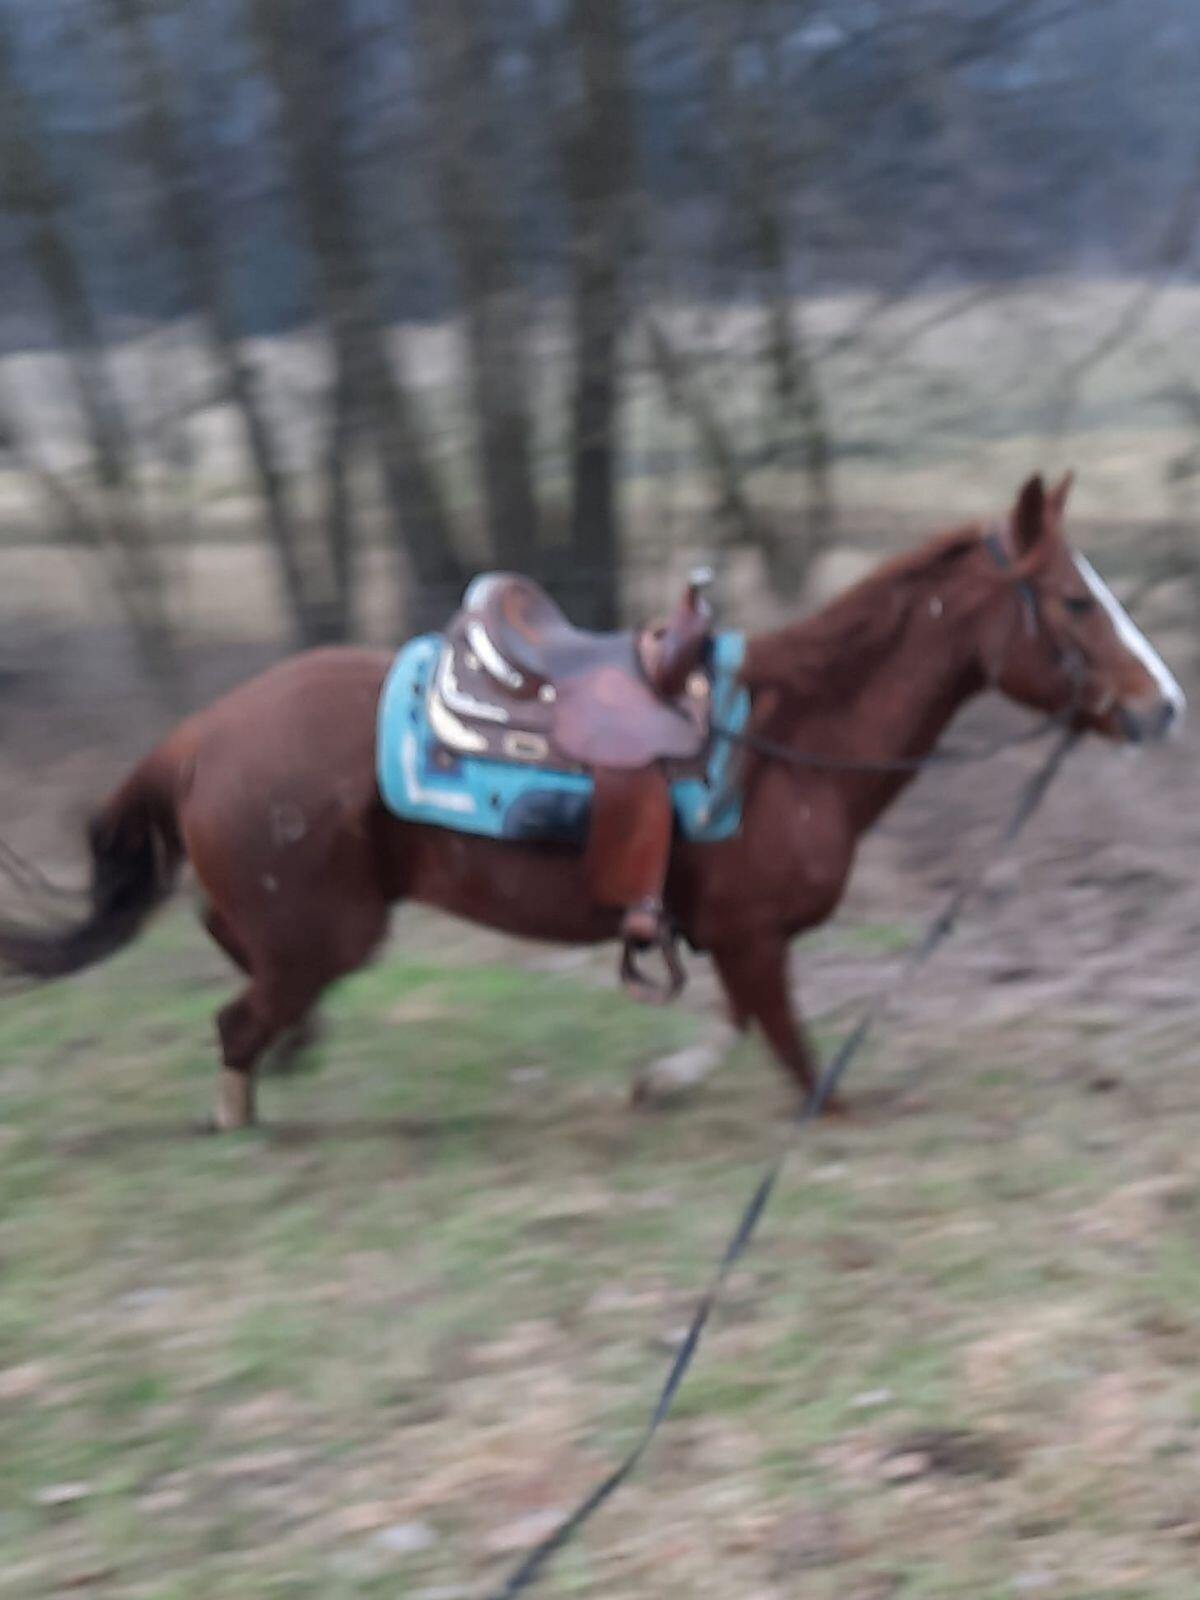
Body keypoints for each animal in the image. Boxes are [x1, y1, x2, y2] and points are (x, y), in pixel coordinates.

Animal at [0, 472, 1184, 1131]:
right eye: (1076, 600)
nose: (1163, 705)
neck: (793, 738)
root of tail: (197, 734)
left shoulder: (730, 939)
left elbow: (743, 1026)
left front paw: (661, 1082)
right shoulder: (752, 936)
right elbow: (794, 1050)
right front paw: (712, 1086)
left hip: (304, 925)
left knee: (236, 969)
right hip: (325, 930)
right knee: (238, 1021)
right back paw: (247, 1108)